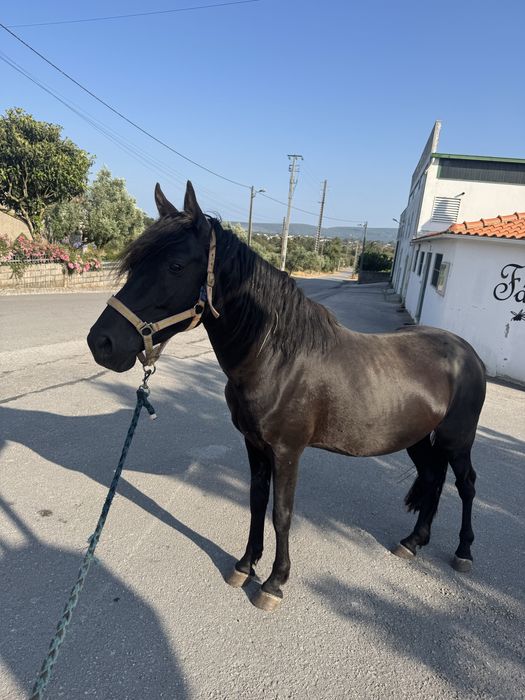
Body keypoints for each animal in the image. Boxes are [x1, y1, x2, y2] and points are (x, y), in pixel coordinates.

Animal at [87, 181, 486, 611]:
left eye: (175, 266)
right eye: (134, 262)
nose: (102, 343)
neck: (276, 358)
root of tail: (467, 352)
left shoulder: (287, 450)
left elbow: (281, 513)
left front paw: (274, 583)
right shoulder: (254, 444)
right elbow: (256, 502)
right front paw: (245, 565)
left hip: (457, 439)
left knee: (466, 484)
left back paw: (464, 551)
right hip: (417, 438)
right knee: (432, 477)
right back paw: (413, 541)